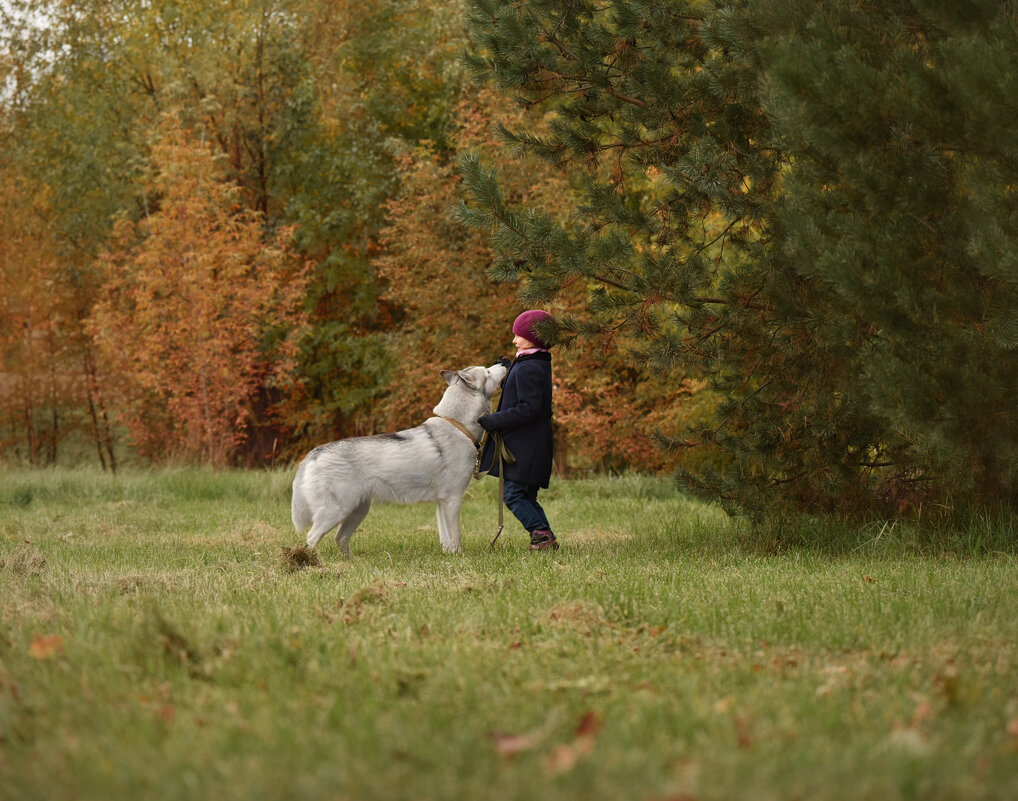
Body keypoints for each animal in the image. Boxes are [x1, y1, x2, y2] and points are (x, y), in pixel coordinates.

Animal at [291, 364, 504, 557]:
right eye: (487, 371)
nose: (503, 362)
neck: (458, 426)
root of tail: (314, 452)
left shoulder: (441, 503)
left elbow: (446, 539)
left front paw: (449, 557)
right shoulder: (452, 500)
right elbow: (455, 537)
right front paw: (459, 557)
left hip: (357, 510)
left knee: (340, 538)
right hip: (337, 511)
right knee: (312, 538)